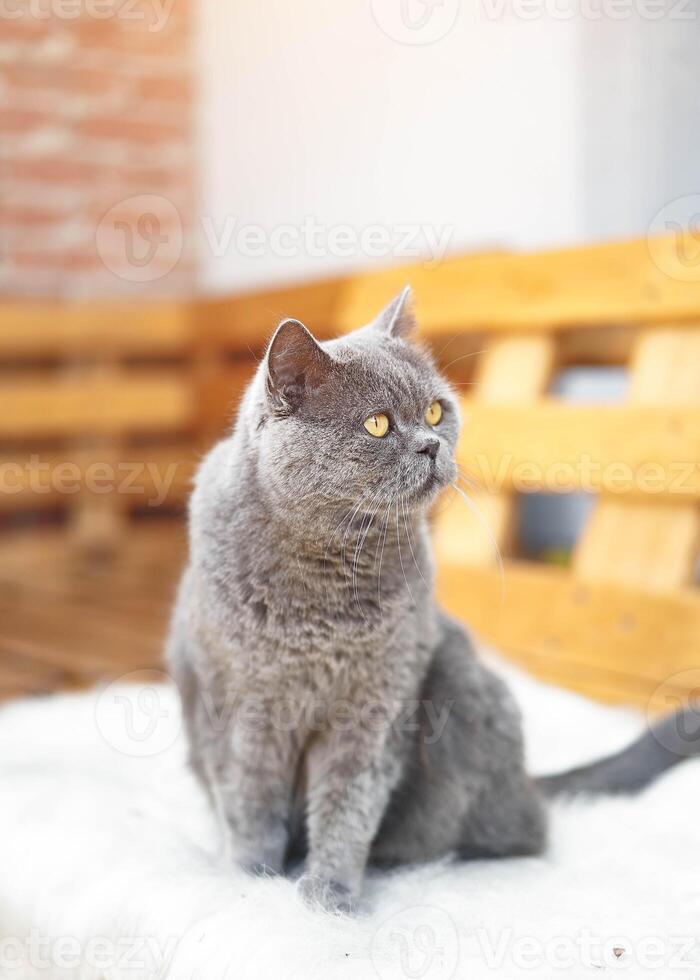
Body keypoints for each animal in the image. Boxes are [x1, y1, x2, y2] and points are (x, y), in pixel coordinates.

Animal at [167, 288, 696, 916]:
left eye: (438, 412)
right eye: (377, 424)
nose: (431, 444)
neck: (327, 578)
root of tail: (527, 779)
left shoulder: (378, 702)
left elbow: (348, 804)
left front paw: (330, 898)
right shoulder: (241, 700)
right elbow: (249, 798)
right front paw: (252, 881)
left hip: (459, 681)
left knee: (529, 829)